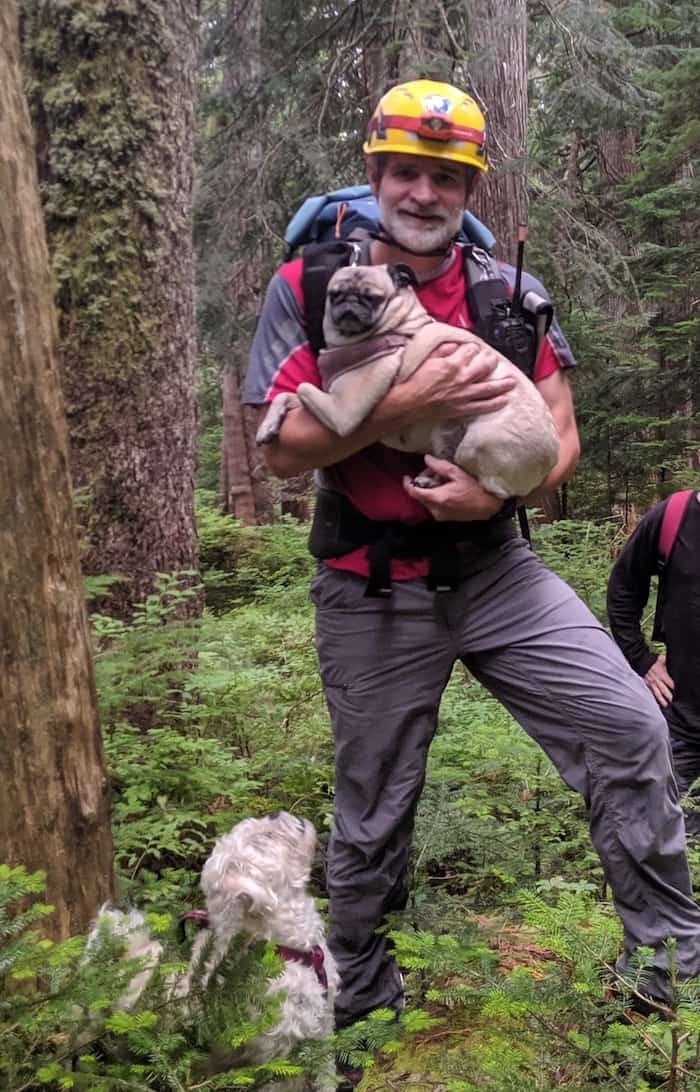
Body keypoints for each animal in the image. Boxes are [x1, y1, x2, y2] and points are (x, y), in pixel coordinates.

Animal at [90, 812, 338, 1092]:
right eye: (265, 837)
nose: (275, 813)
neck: (286, 950)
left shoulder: (323, 1027)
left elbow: (327, 1077)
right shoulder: (275, 1056)